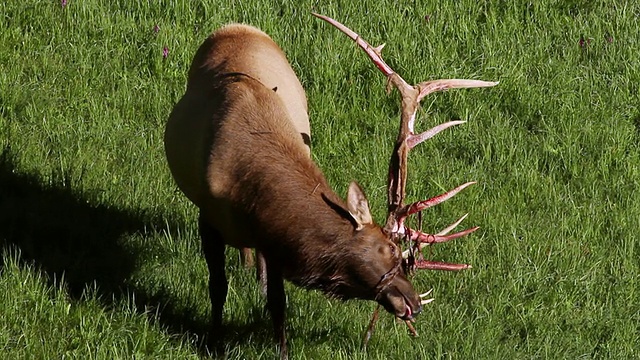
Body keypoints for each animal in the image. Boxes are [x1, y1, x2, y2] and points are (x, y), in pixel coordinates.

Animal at [162, 12, 498, 358]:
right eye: (390, 248)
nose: (414, 303)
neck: (247, 189)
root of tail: (236, 27)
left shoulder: (273, 237)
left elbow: (277, 303)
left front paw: (282, 348)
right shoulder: (208, 217)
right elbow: (217, 286)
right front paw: (213, 341)